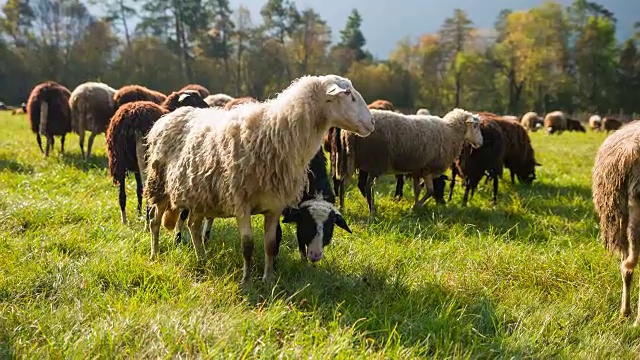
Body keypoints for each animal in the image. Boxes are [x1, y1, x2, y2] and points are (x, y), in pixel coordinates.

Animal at [104, 90, 206, 224]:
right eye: (194, 99)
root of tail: (134, 119)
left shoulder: (136, 168)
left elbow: (138, 190)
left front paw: (138, 215)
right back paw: (148, 220)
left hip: (118, 159)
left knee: (122, 195)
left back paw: (125, 222)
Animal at [144, 74, 376, 286]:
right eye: (348, 94)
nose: (372, 123)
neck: (275, 132)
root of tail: (169, 116)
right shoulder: (241, 204)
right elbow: (248, 246)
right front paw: (246, 281)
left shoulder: (274, 206)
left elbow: (270, 245)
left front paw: (269, 279)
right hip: (160, 184)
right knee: (155, 222)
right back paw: (155, 255)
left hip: (201, 195)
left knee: (193, 225)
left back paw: (202, 259)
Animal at [338, 108, 482, 215]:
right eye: (475, 125)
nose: (481, 142)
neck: (451, 131)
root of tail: (348, 133)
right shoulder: (427, 169)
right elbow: (430, 191)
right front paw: (415, 207)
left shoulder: (417, 169)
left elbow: (417, 189)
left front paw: (415, 205)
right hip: (376, 161)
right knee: (368, 186)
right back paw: (372, 211)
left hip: (351, 159)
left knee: (344, 183)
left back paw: (342, 208)